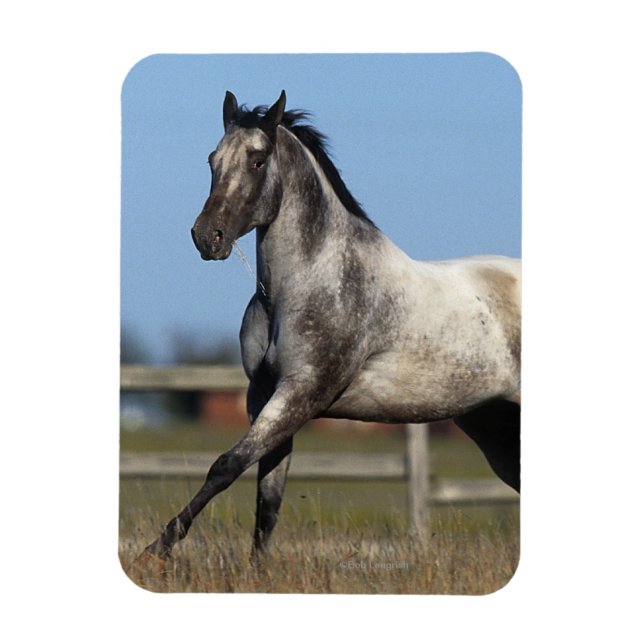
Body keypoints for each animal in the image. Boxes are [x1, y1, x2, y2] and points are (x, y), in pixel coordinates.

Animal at [140, 90, 521, 561]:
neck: (305, 284)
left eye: (258, 161)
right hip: (493, 426)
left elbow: (226, 465)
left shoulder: (301, 393)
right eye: (213, 160)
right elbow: (268, 497)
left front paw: (156, 549)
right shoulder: (263, 396)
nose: (206, 237)